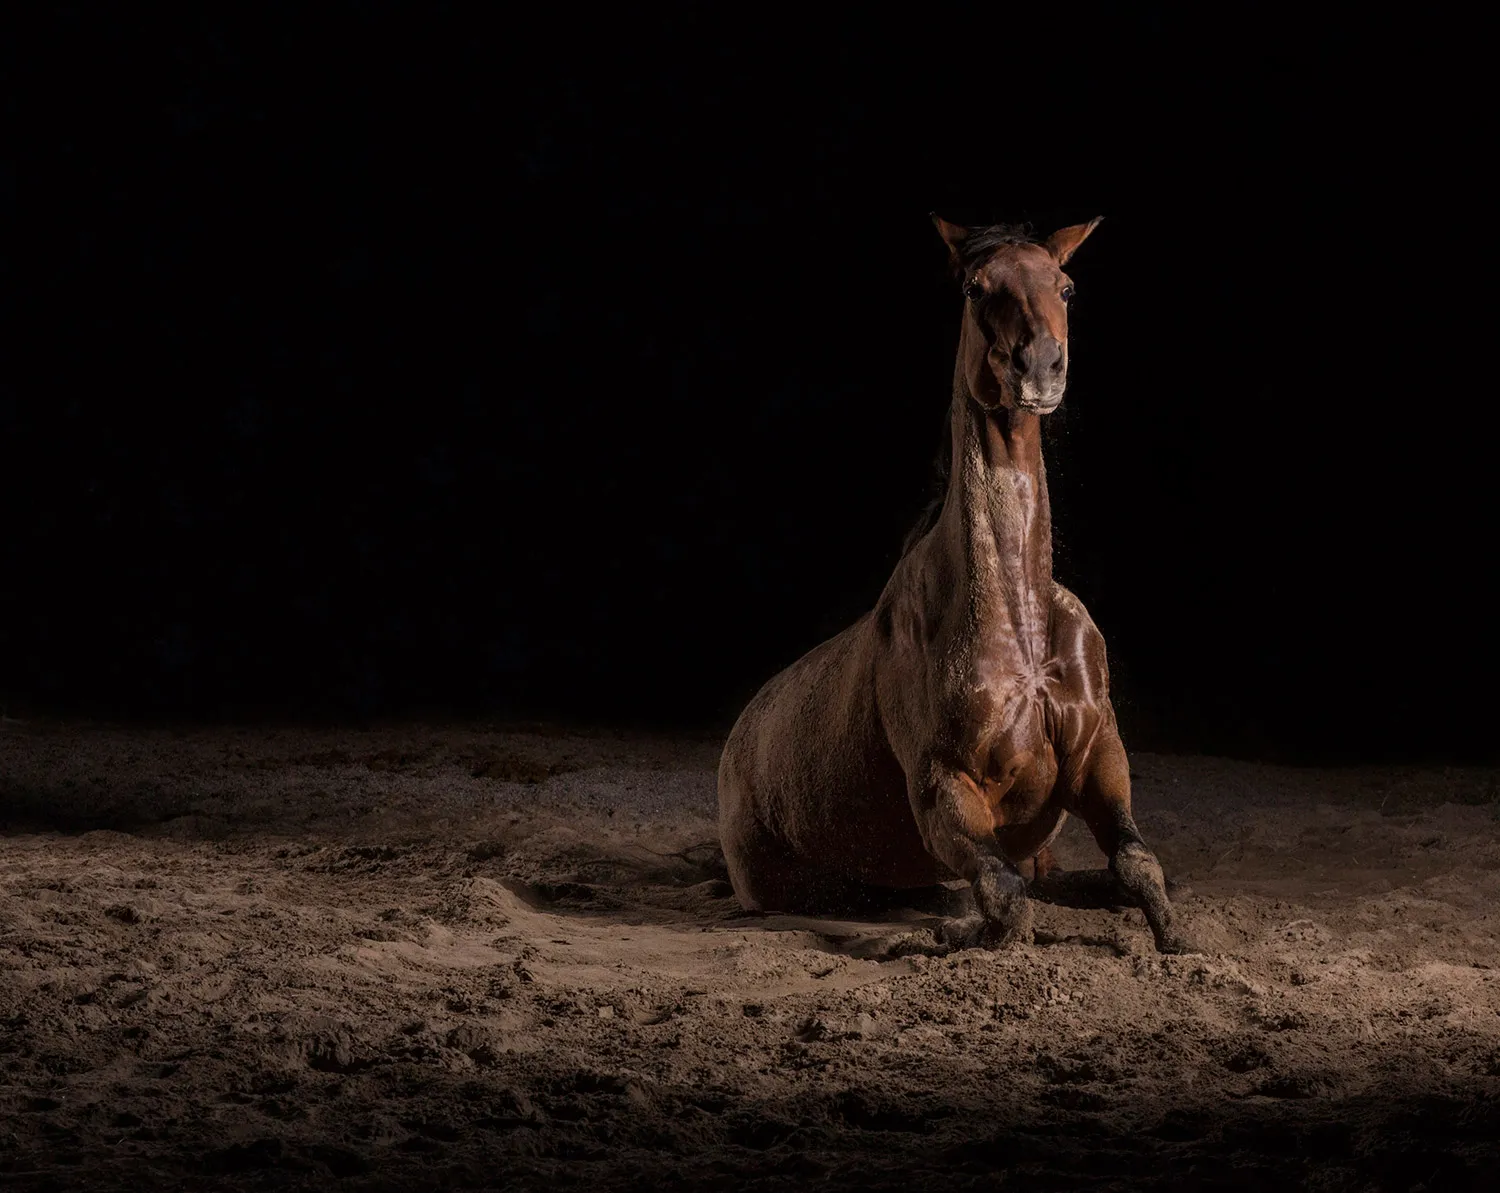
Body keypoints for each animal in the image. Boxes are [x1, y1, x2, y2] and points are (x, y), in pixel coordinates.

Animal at [717, 214, 1189, 954]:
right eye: (975, 287)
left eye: (1066, 286)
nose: (1039, 366)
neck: (1020, 625)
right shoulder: (945, 790)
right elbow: (1004, 900)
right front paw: (951, 934)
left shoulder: (1099, 758)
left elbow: (1138, 864)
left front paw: (1179, 941)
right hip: (781, 891)